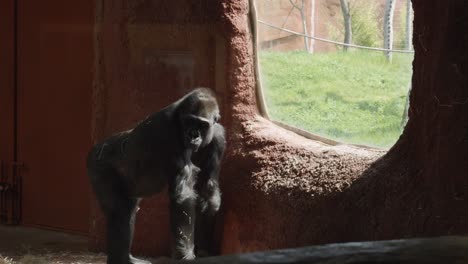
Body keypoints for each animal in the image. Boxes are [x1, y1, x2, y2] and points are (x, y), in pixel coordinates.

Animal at [88, 87, 227, 262]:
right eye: (189, 121)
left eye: (202, 125)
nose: (193, 134)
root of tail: (95, 148)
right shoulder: (169, 132)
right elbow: (183, 196)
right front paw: (185, 254)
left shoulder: (219, 137)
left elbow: (208, 193)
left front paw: (203, 249)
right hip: (98, 165)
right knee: (120, 211)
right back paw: (121, 259)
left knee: (128, 209)